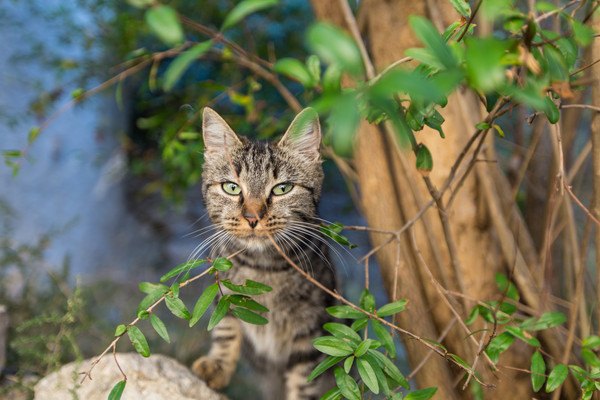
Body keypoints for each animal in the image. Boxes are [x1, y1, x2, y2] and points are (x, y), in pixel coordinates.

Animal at [195, 108, 340, 398]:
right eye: (231, 187)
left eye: (282, 188)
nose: (252, 217)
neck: (263, 267)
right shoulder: (223, 293)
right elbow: (225, 328)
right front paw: (217, 366)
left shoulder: (311, 330)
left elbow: (304, 380)